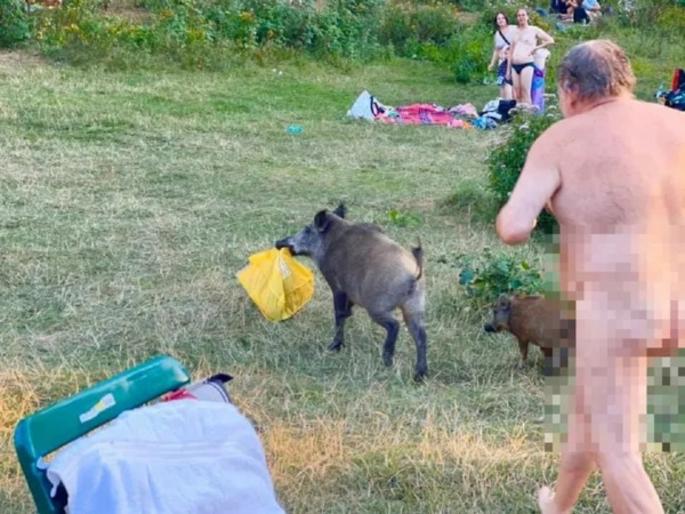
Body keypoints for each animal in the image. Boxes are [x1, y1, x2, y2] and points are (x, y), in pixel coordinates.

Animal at [275, 204, 428, 381]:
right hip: (414, 306)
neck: (330, 242)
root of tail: (414, 272)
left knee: (395, 325)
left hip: (377, 307)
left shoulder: (336, 285)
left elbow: (339, 314)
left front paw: (333, 347)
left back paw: (387, 362)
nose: (278, 242)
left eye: (307, 229)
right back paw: (419, 375)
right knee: (421, 335)